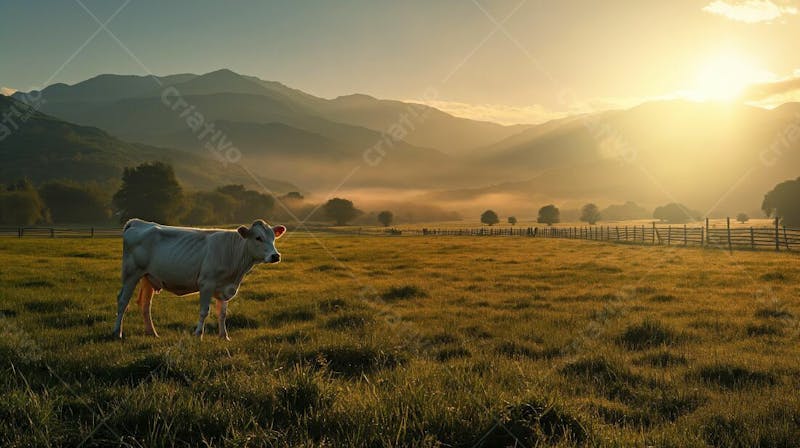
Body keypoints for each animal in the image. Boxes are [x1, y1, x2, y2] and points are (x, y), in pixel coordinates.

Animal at [111, 218, 288, 340]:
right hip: (131, 273)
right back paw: (117, 332)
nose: (275, 256)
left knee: (145, 304)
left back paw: (152, 333)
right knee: (123, 301)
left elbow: (222, 313)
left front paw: (224, 336)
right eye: (258, 238)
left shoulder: (226, 288)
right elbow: (204, 311)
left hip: (148, 277)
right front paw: (198, 334)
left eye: (273, 238)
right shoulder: (206, 283)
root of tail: (137, 222)